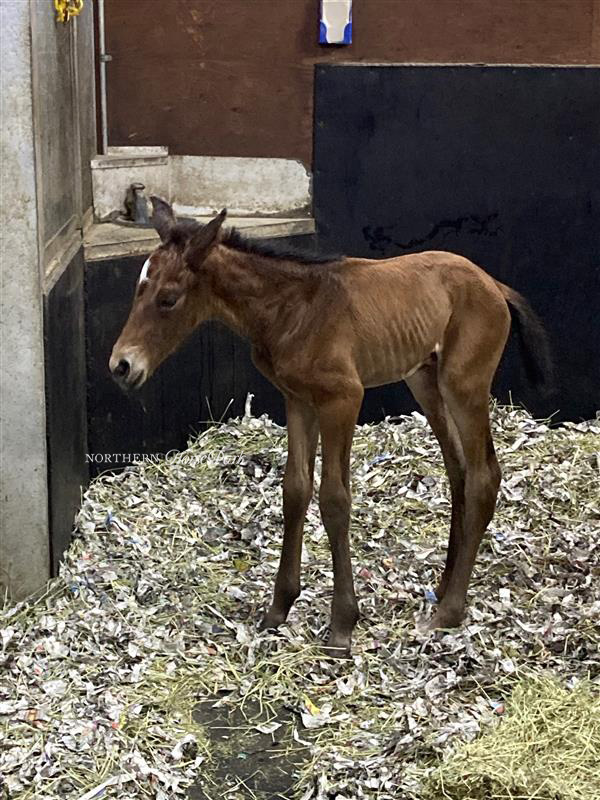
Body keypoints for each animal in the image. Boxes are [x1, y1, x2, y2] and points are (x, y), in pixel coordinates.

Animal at [109, 197, 552, 656]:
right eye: (138, 289)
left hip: (464, 384)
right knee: (459, 471)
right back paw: (445, 587)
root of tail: (495, 286)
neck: (292, 307)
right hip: (424, 381)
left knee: (484, 475)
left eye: (168, 299)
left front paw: (342, 625)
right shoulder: (298, 400)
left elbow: (334, 499)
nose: (121, 366)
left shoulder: (343, 399)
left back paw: (448, 612)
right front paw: (279, 608)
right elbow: (295, 490)